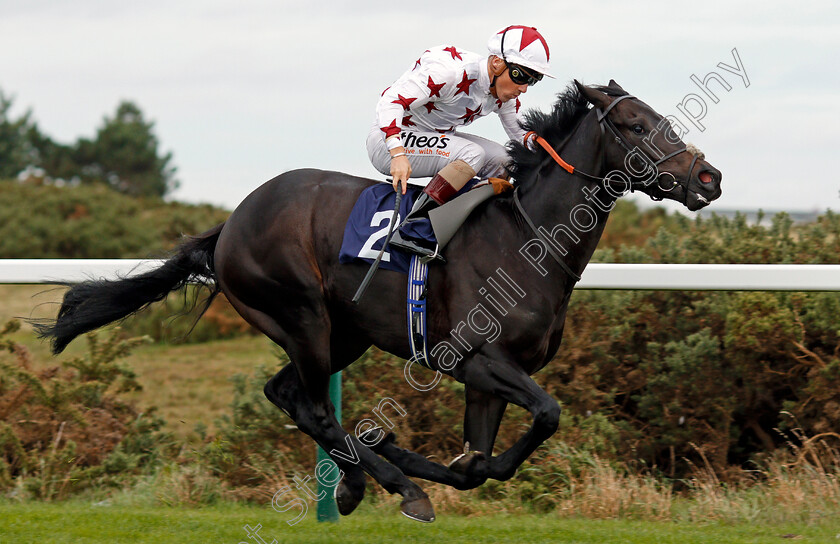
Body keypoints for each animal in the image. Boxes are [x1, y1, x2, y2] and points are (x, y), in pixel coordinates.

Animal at [36, 78, 720, 520]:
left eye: (664, 119)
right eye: (635, 125)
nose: (709, 177)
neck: (528, 238)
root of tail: (230, 224)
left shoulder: (493, 374)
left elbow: (481, 464)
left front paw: (407, 454)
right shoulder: (475, 358)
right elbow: (547, 415)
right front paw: (395, 460)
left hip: (344, 333)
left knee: (286, 394)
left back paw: (361, 481)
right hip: (302, 316)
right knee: (312, 405)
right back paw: (384, 486)